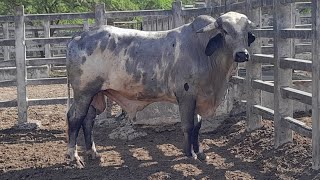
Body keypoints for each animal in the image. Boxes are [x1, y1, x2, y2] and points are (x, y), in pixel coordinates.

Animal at [66, 11, 256, 168]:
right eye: (225, 31)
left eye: (246, 31)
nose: (242, 54)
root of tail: (78, 37)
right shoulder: (186, 96)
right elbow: (188, 126)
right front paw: (190, 154)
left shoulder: (198, 97)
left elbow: (198, 125)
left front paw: (200, 152)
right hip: (83, 93)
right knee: (75, 119)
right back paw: (75, 158)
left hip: (94, 95)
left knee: (88, 120)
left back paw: (93, 153)